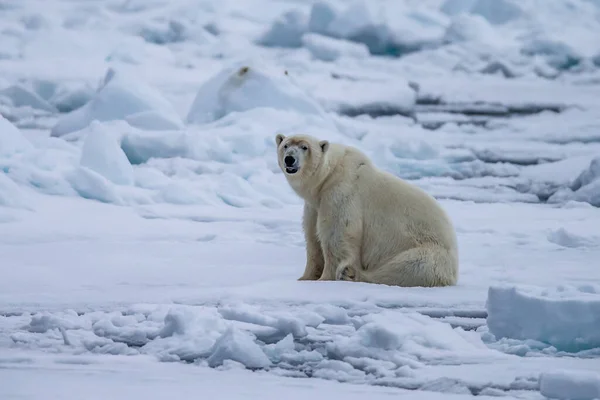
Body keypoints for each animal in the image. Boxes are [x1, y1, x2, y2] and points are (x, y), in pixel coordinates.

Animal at [276, 134, 460, 288]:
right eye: (286, 145)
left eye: (305, 147)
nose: (290, 159)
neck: (329, 175)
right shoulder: (315, 205)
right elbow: (313, 238)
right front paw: (305, 277)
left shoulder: (341, 192)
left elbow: (337, 235)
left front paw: (325, 278)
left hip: (430, 251)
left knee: (410, 267)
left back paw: (352, 274)